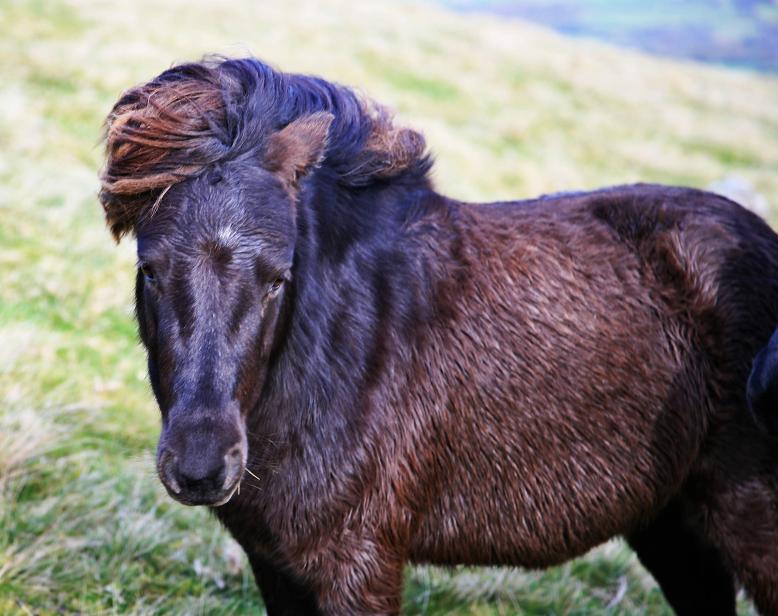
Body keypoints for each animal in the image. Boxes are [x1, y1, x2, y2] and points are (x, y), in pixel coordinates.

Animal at [99, 57, 778, 615]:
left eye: (277, 278)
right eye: (150, 269)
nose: (201, 467)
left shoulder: (360, 567)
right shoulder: (277, 566)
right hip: (669, 523)